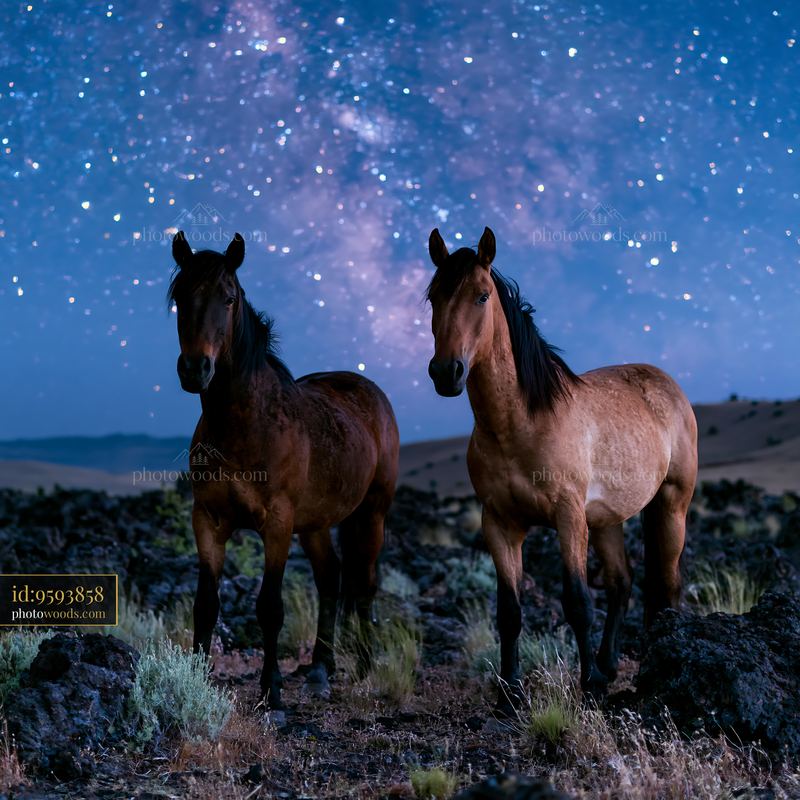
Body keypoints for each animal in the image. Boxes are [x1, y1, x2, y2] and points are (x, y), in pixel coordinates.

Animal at [169, 230, 399, 709]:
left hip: (371, 514)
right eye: (180, 296)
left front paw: (271, 692)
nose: (195, 369)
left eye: (229, 298)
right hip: (315, 524)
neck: (243, 424)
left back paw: (365, 665)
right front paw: (196, 679)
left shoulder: (276, 524)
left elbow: (269, 608)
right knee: (331, 578)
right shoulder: (207, 520)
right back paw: (320, 671)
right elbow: (205, 604)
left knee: (364, 584)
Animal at [425, 226, 697, 710]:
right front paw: (510, 691)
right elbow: (510, 610)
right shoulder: (499, 523)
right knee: (622, 583)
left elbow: (577, 602)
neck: (519, 422)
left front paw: (587, 686)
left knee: (665, 584)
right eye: (433, 297)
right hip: (607, 521)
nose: (446, 372)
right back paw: (609, 664)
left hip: (671, 507)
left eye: (481, 296)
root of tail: (668, 384)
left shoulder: (568, 517)